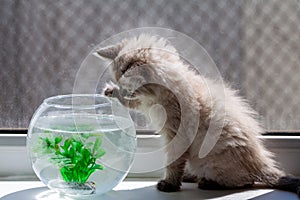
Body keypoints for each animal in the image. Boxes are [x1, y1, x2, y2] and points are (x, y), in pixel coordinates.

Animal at [95, 34, 300, 197]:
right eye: (119, 82)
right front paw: (111, 92)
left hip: (212, 161)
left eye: (129, 85)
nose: (122, 89)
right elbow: (130, 103)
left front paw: (169, 184)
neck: (158, 96)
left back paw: (207, 182)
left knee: (245, 181)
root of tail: (259, 161)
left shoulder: (177, 135)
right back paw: (191, 176)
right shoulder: (144, 104)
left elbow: (173, 162)